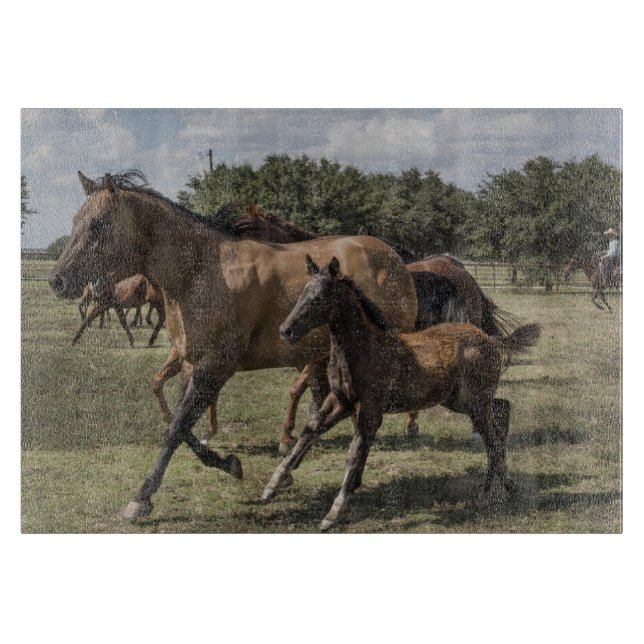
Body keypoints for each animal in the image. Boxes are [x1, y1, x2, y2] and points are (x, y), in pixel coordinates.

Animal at [49, 171, 418, 518]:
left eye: (98, 224)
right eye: (76, 221)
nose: (57, 280)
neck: (201, 271)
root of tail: (393, 258)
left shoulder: (215, 366)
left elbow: (177, 427)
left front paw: (141, 499)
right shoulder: (190, 364)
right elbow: (179, 423)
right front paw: (230, 463)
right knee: (323, 407)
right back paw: (287, 472)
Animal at [263, 257, 541, 531]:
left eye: (319, 297)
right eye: (302, 293)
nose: (285, 330)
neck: (363, 350)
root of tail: (490, 340)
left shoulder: (370, 409)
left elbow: (353, 454)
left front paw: (333, 512)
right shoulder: (341, 402)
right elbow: (310, 431)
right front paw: (272, 485)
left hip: (473, 402)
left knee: (493, 439)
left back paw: (487, 495)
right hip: (460, 401)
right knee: (501, 410)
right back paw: (507, 487)